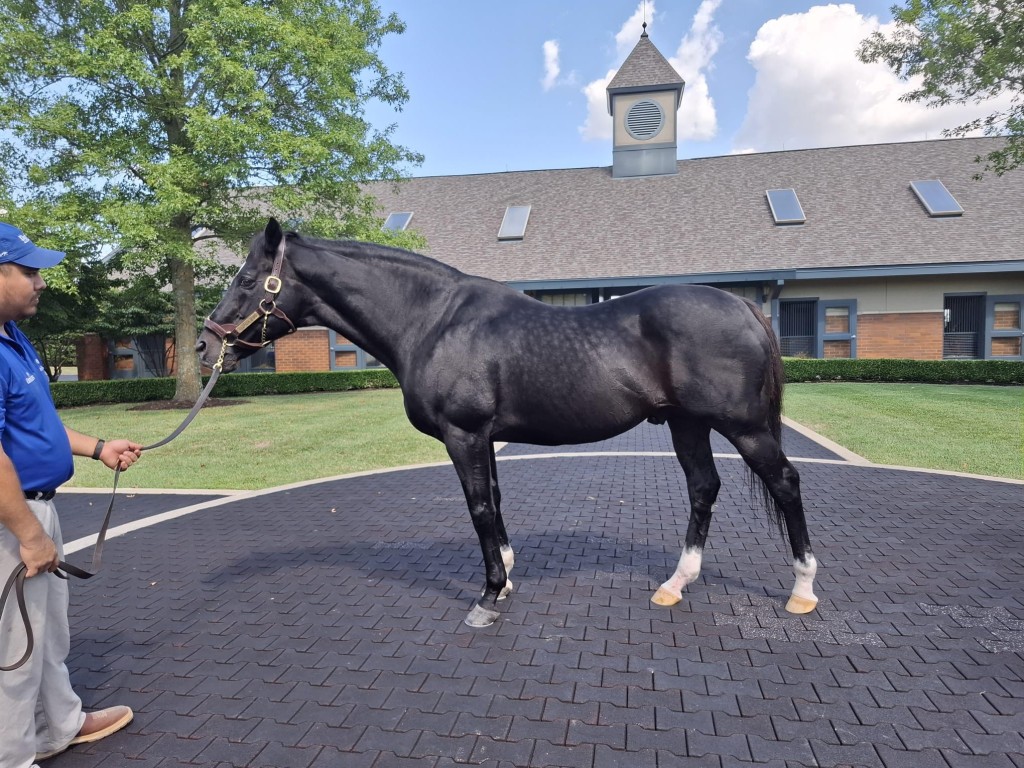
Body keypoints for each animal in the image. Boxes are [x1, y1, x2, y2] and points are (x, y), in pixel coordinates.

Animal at [197, 219, 815, 626]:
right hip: (687, 424)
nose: (205, 346)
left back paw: (803, 590)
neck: (432, 320)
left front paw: (488, 597)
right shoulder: (485, 437)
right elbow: (493, 502)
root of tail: (745, 307)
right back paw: (674, 585)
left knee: (785, 483)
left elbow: (478, 508)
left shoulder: (464, 434)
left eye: (248, 280)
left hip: (742, 426)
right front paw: (508, 575)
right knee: (703, 488)